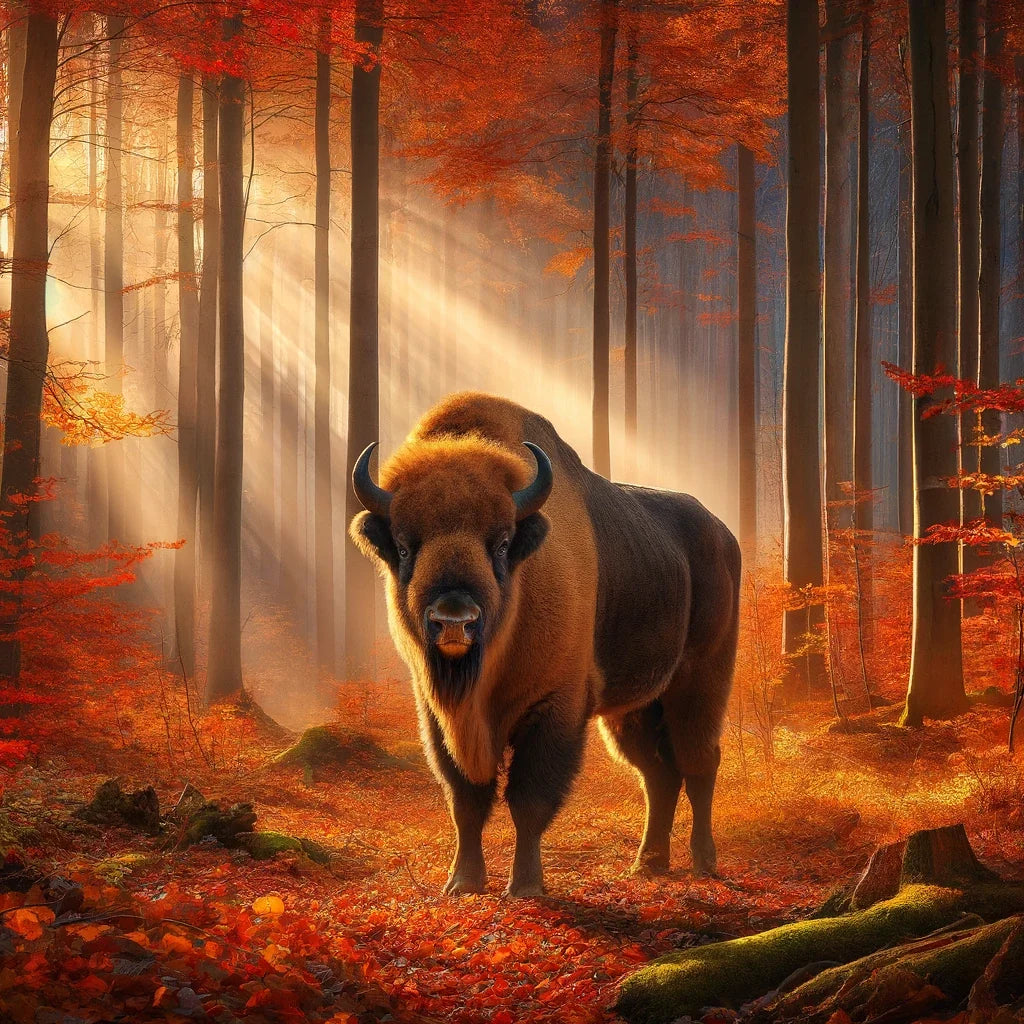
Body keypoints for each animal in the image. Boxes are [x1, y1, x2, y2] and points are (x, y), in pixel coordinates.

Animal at [349, 392, 740, 897]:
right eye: (401, 546)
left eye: (501, 543)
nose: (454, 619)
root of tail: (724, 536)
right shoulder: (438, 715)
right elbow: (465, 799)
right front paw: (462, 882)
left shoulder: (555, 707)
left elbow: (529, 800)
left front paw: (526, 886)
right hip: (632, 708)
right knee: (658, 775)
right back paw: (647, 865)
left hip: (700, 683)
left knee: (699, 763)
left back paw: (703, 862)